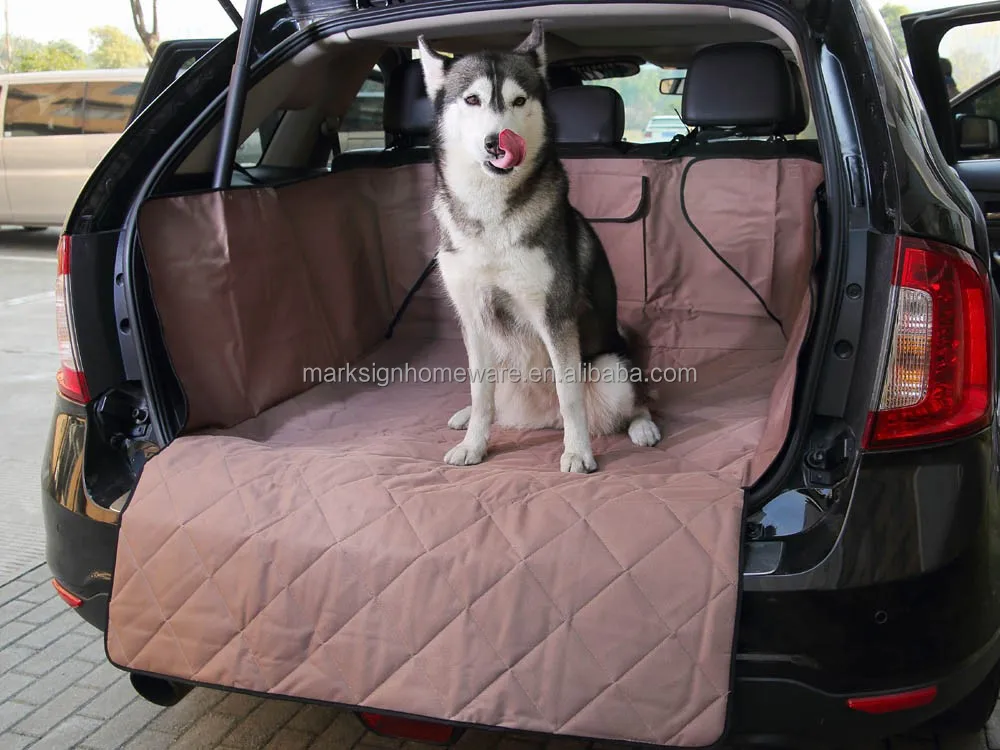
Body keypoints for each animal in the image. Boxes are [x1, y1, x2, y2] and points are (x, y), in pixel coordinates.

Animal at [418, 22, 660, 476]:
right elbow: (480, 393)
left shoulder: (555, 317)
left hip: (612, 370)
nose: (498, 142)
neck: (491, 217)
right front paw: (474, 444)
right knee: (492, 399)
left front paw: (578, 452)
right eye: (472, 99)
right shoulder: (473, 318)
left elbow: (570, 395)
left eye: (518, 100)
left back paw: (642, 426)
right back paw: (466, 418)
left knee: (633, 401)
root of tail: (540, 419)